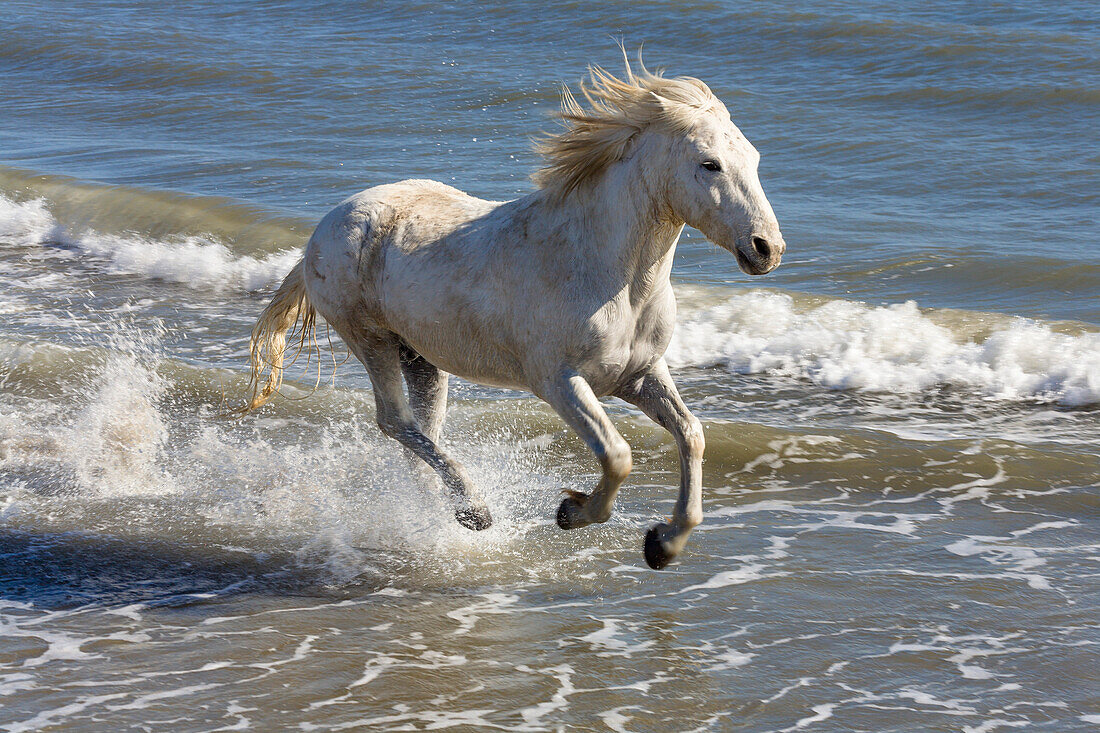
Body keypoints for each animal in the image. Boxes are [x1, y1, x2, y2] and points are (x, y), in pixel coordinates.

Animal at [245, 54, 787, 567]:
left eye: (756, 158)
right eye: (710, 164)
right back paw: (474, 511)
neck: (606, 274)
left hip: (421, 359)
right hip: (370, 339)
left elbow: (691, 435)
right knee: (394, 421)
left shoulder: (638, 376)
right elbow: (618, 455)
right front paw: (571, 512)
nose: (767, 249)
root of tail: (325, 228)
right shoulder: (558, 381)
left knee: (421, 430)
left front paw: (663, 545)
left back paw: (443, 514)